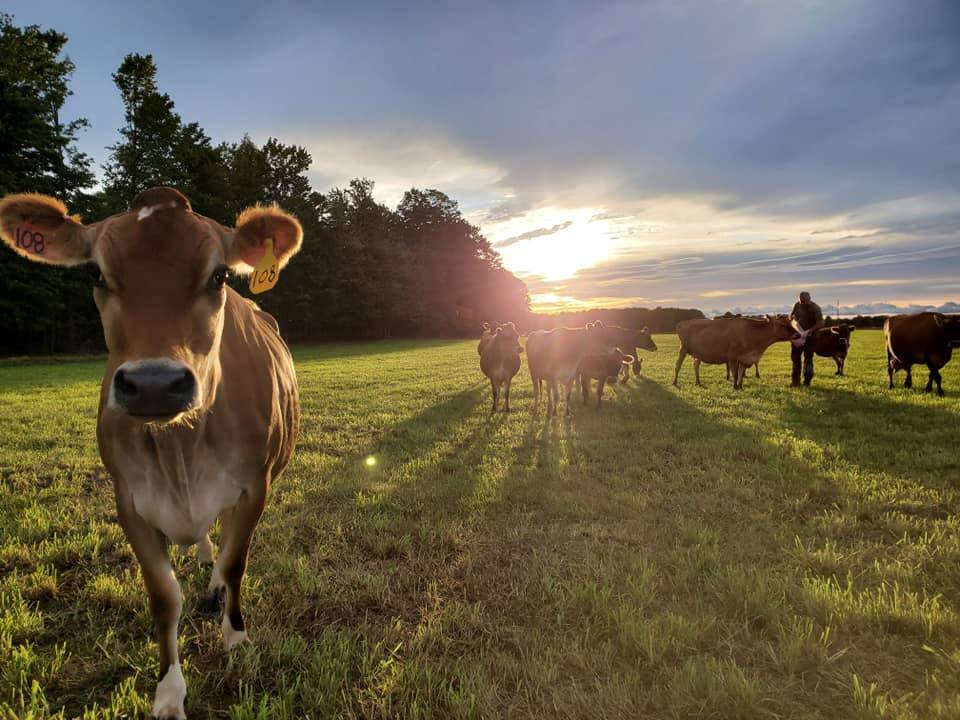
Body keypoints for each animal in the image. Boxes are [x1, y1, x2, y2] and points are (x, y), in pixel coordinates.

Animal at [0, 187, 300, 720]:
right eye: (96, 273)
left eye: (219, 274)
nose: (155, 384)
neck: (179, 447)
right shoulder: (129, 501)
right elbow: (164, 597)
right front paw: (169, 692)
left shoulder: (255, 486)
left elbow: (236, 563)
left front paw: (235, 637)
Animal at [672, 316, 800, 390]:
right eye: (782, 324)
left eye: (790, 323)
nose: (798, 334)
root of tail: (682, 323)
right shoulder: (732, 356)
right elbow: (735, 373)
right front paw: (735, 387)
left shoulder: (745, 358)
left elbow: (741, 373)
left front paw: (740, 386)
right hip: (683, 348)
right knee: (678, 365)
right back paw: (674, 382)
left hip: (697, 353)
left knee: (695, 366)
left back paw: (698, 382)